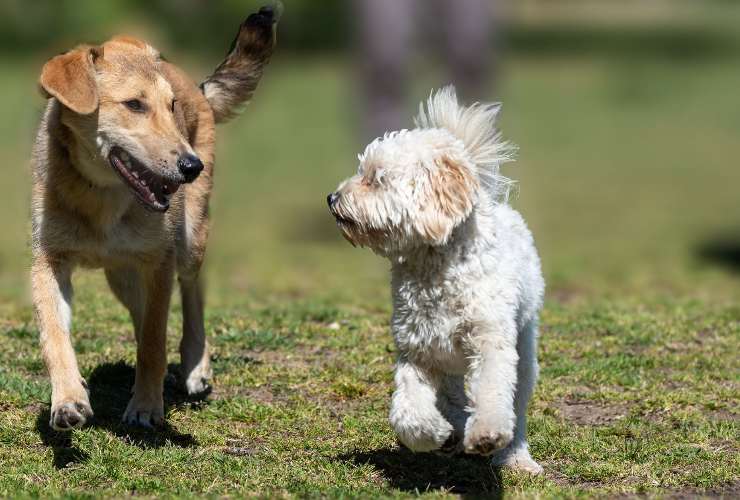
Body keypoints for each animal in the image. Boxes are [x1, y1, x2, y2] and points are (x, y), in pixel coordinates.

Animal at [30, 5, 278, 432]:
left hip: (190, 239)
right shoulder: (49, 262)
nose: (191, 166)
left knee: (192, 293)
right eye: (134, 105)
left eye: (171, 106)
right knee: (142, 312)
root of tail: (198, 87)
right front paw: (68, 400)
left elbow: (153, 342)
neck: (101, 196)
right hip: (122, 275)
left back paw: (195, 366)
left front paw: (146, 406)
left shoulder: (159, 262)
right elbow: (55, 337)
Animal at [330, 86, 544, 472]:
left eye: (375, 178)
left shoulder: (490, 342)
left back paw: (516, 456)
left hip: (524, 348)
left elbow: (492, 393)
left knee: (515, 406)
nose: (332, 198)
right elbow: (407, 412)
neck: (435, 266)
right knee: (453, 397)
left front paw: (487, 434)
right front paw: (434, 434)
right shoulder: (418, 351)